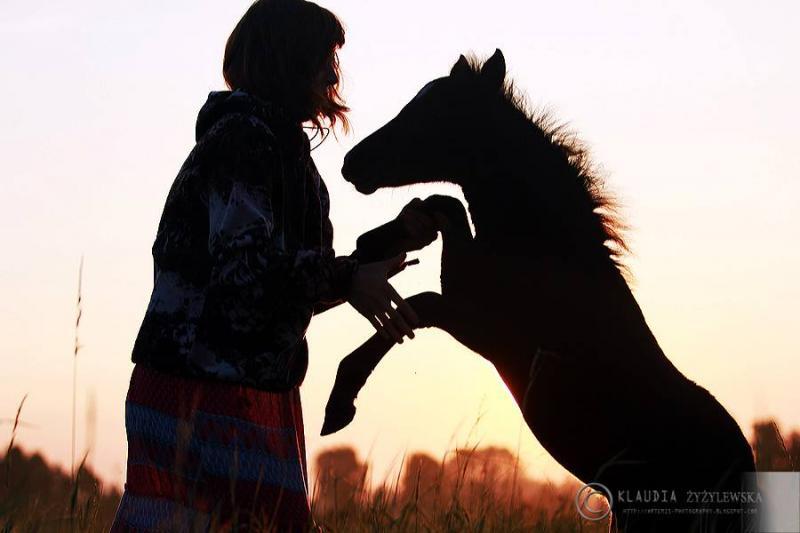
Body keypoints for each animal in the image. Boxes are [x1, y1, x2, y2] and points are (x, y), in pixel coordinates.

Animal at [322, 48, 752, 528]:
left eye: (433, 112)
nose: (351, 164)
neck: (543, 251)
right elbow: (442, 207)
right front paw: (377, 242)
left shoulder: (480, 324)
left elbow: (419, 304)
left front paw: (340, 401)